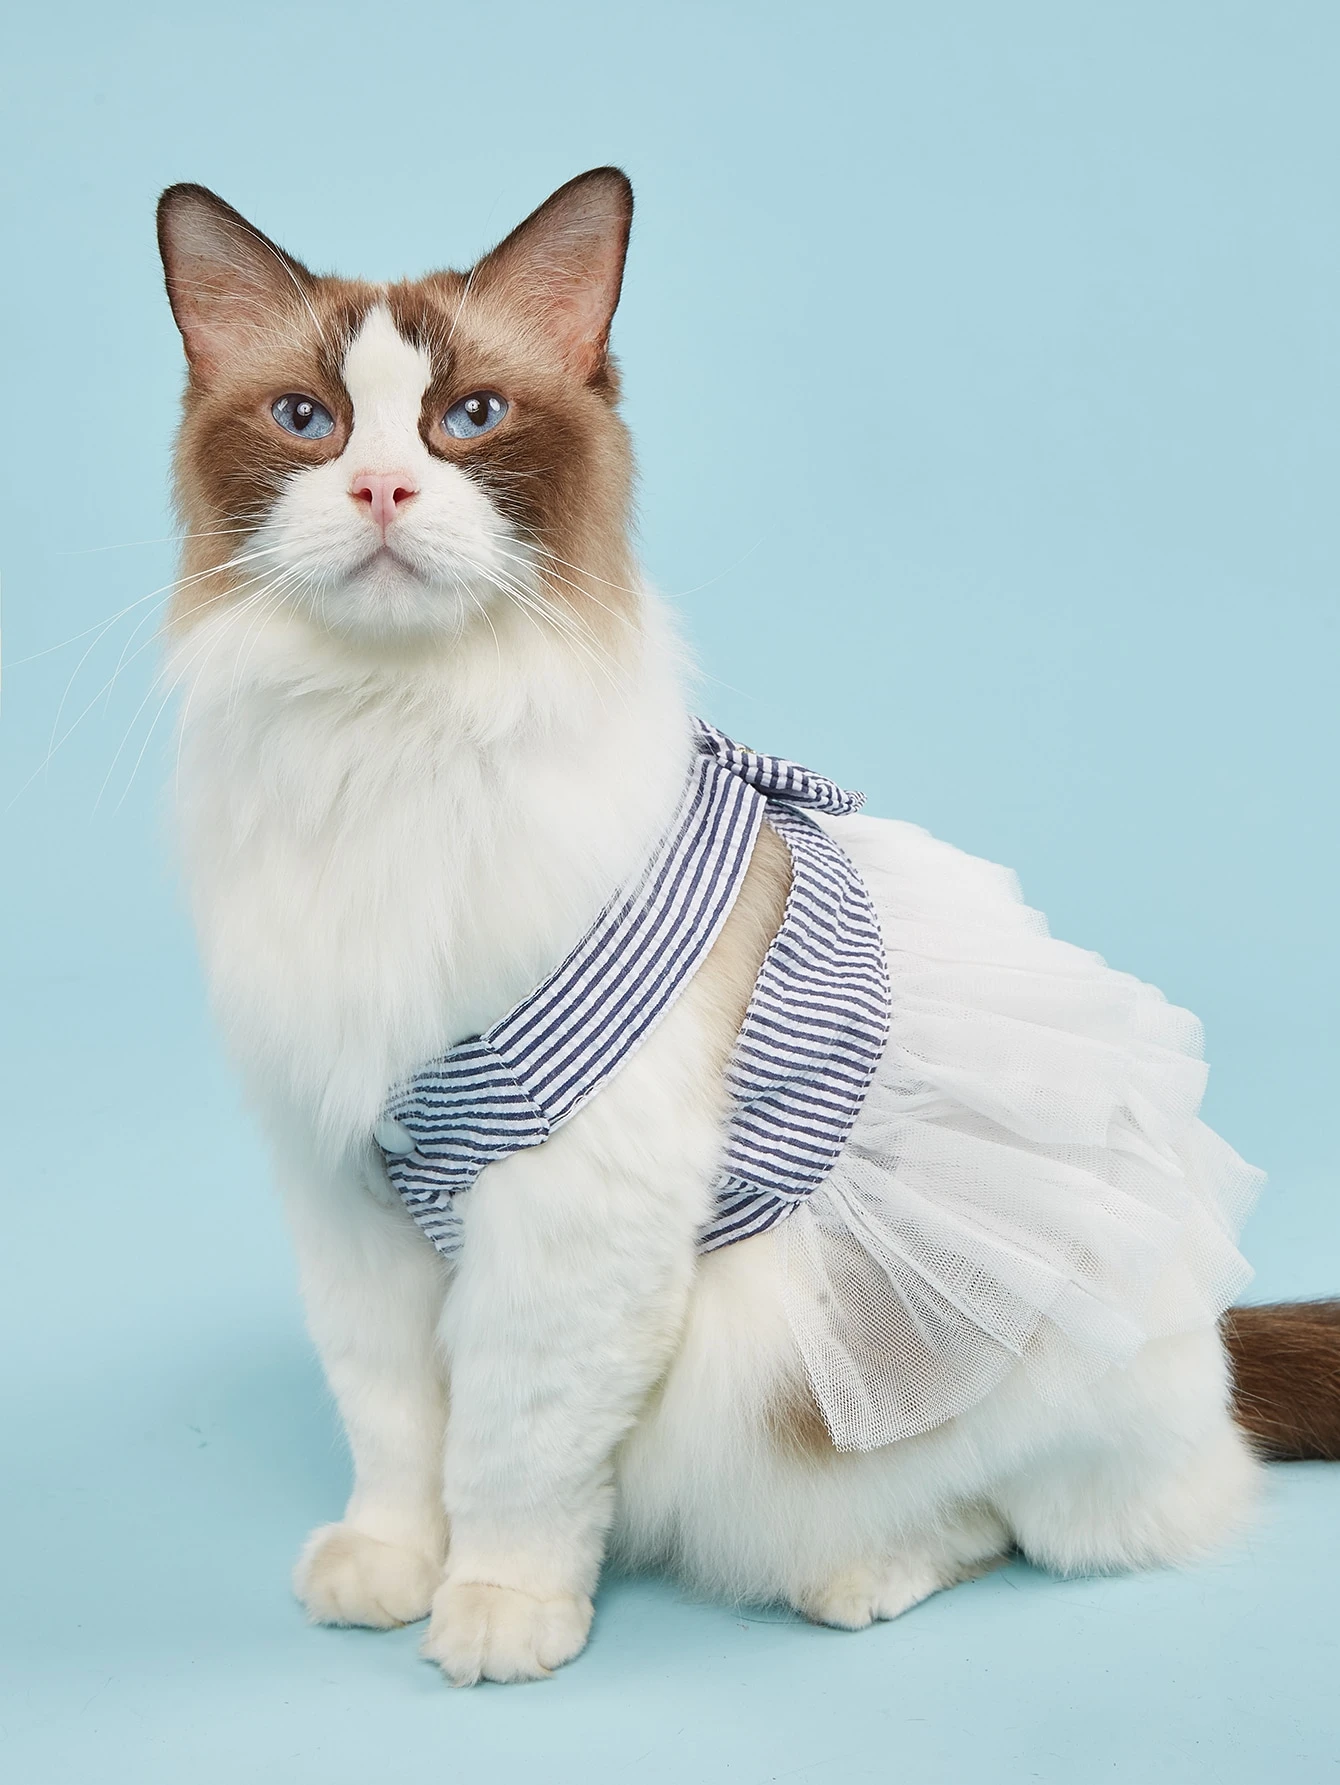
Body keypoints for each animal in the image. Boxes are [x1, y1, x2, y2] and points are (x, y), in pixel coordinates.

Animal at [155, 168, 1339, 1685]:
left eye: (467, 418)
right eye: (306, 422)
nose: (379, 487)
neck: (390, 744)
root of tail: (1210, 1352)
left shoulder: (569, 1212)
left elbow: (509, 1447)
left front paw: (499, 1610)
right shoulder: (348, 1184)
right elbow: (396, 1426)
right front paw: (388, 1567)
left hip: (861, 1367)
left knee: (1012, 1523)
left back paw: (860, 1575)